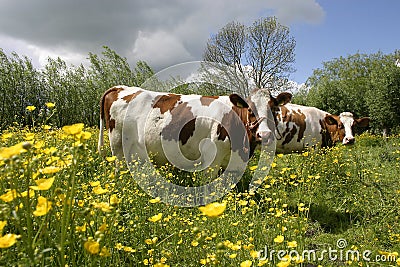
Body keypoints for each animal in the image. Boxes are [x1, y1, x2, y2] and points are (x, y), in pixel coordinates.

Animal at [97, 86, 284, 178]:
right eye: (250, 110)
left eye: (274, 109)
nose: (265, 135)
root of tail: (120, 87)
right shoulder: (212, 157)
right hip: (118, 145)